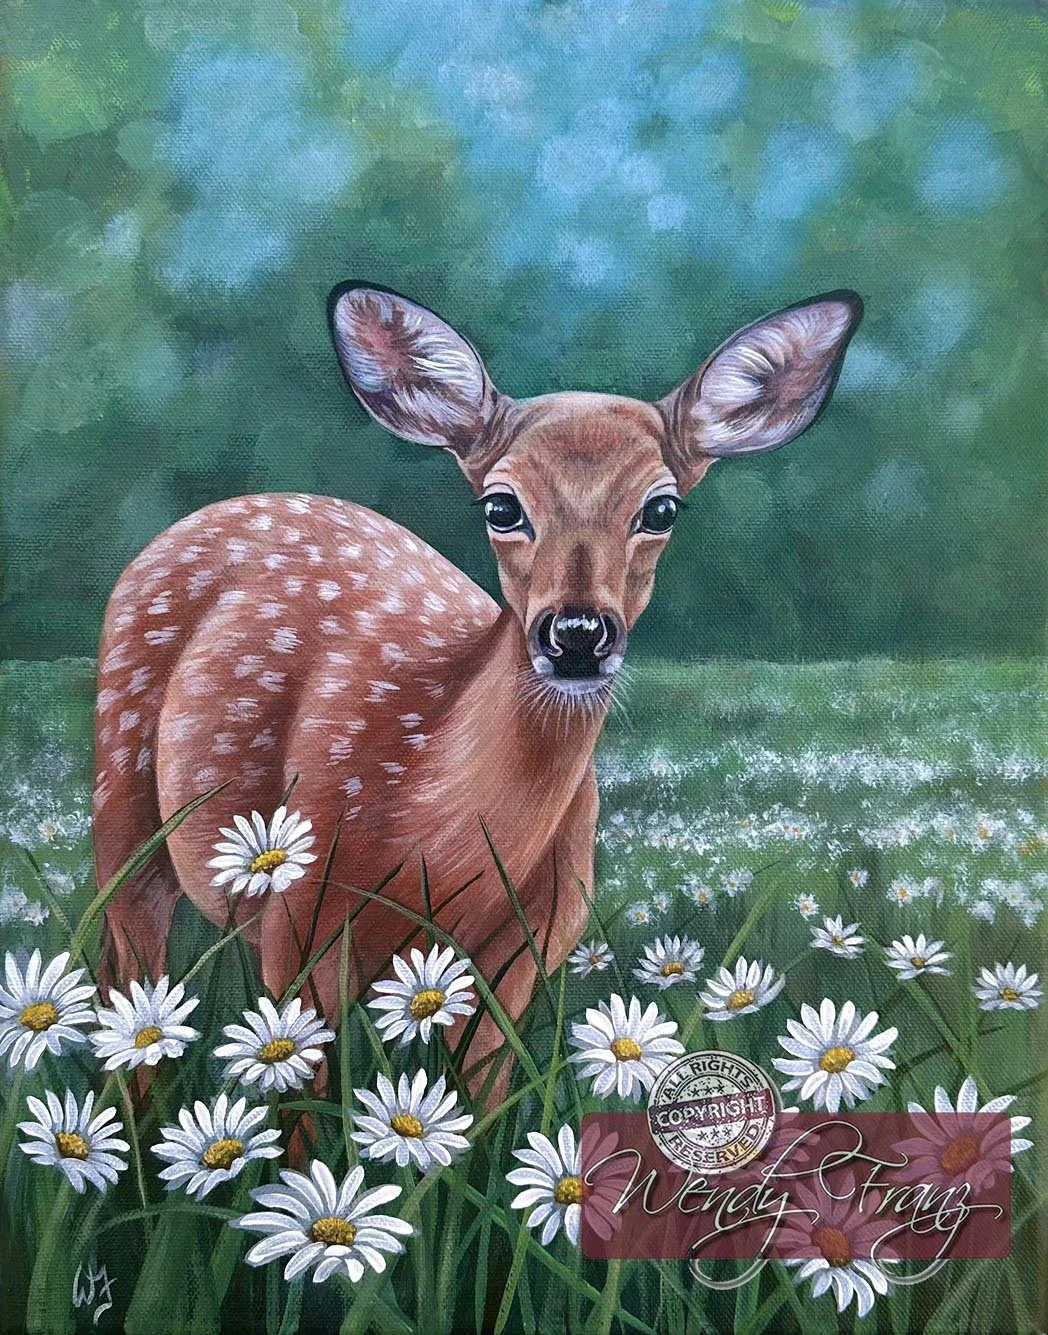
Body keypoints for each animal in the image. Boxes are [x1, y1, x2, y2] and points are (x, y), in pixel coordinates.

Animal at [92, 283, 862, 1096]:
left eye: (662, 507)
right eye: (501, 505)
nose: (577, 633)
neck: (439, 825)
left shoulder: (528, 947)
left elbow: (481, 1103)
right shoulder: (299, 925)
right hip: (123, 792)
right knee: (128, 975)